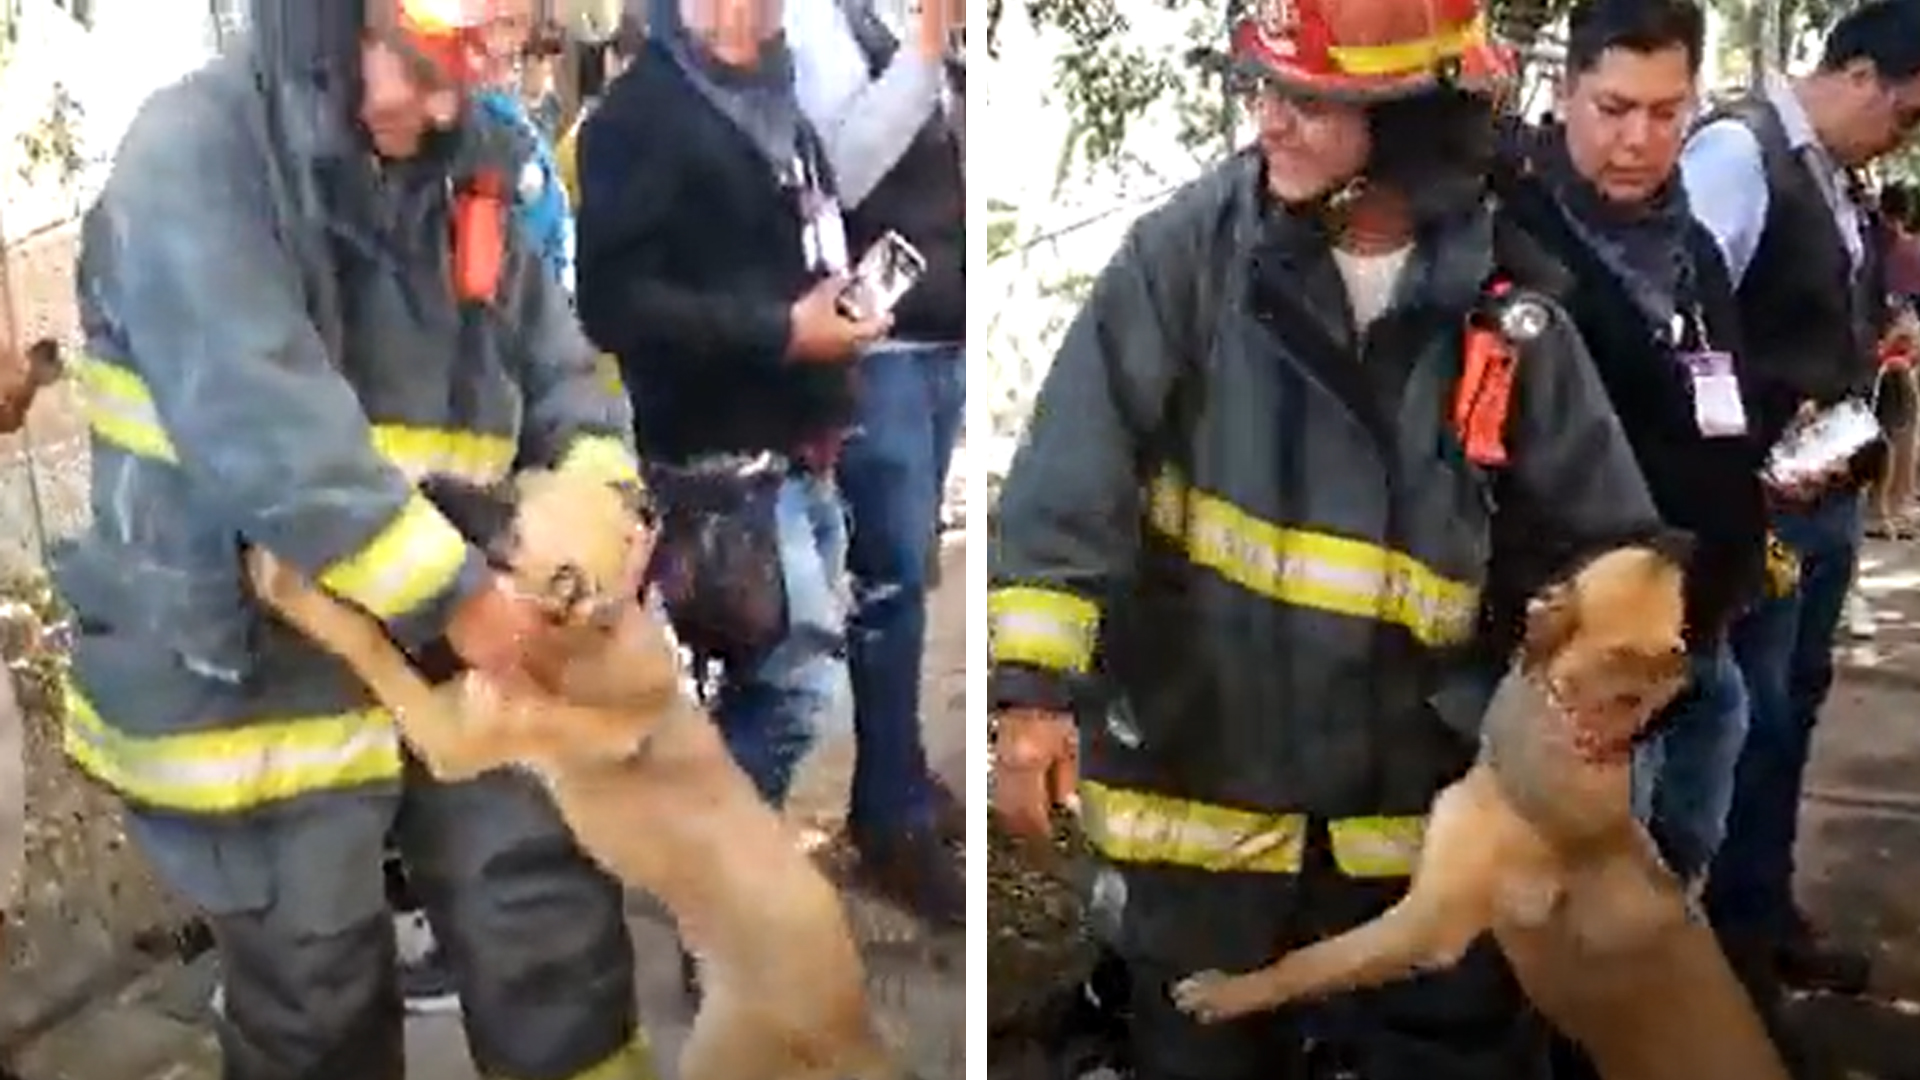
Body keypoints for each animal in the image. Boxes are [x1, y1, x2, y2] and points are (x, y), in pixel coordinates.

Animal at [247, 468, 906, 1076]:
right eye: (511, 481)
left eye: (510, 517)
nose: (425, 479)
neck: (591, 634)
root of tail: (859, 1028)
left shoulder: (451, 732)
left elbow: (371, 645)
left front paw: (289, 586)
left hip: (724, 1051)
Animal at [1167, 545, 1797, 1076]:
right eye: (1677, 605)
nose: (1682, 541)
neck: (1564, 732)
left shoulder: (1425, 923)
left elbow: (1311, 962)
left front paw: (1226, 993)